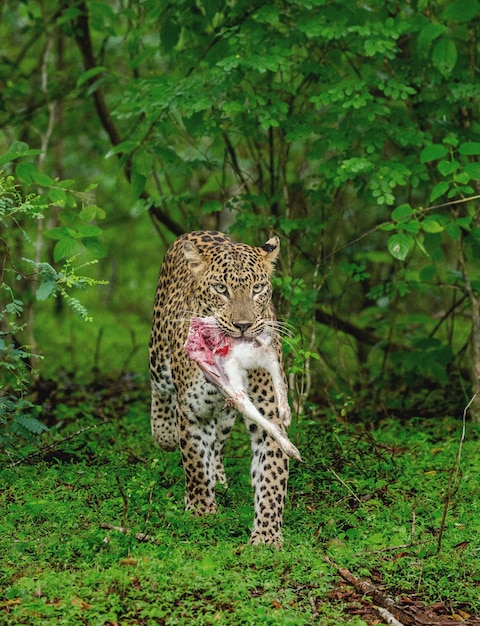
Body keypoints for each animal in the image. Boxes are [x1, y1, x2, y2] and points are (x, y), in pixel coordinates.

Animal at [150, 230, 292, 544]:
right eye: (220, 288)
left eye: (257, 288)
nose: (243, 325)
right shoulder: (194, 411)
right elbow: (194, 464)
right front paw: (201, 513)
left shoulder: (269, 416)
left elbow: (271, 476)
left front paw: (266, 535)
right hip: (158, 355)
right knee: (160, 392)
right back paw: (164, 434)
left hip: (226, 415)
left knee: (217, 443)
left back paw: (220, 476)